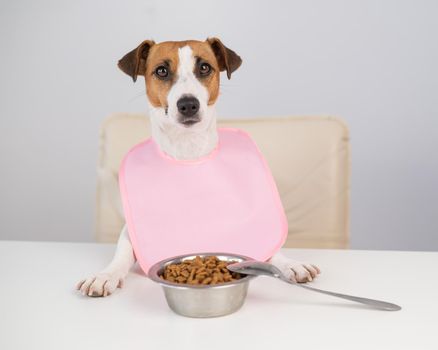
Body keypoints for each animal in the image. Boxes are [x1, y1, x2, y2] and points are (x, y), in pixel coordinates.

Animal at [77, 38, 320, 296]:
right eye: (161, 71)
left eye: (204, 67)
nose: (188, 104)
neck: (188, 150)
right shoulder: (129, 232)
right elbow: (122, 252)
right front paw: (105, 275)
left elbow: (270, 246)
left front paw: (290, 264)